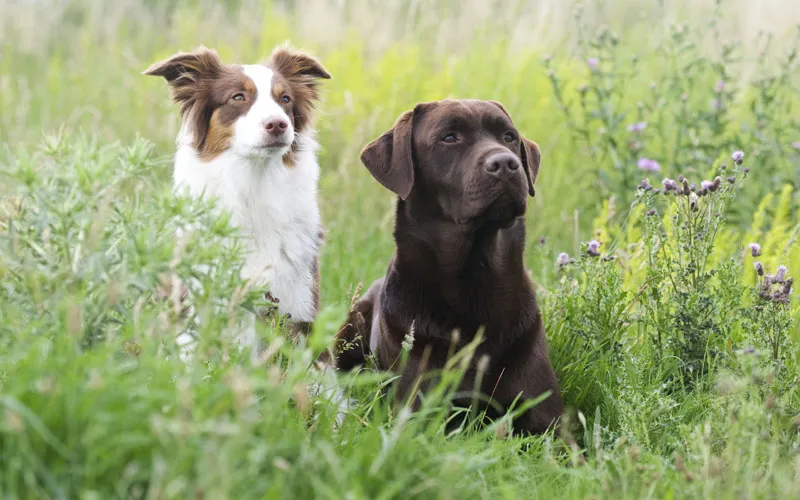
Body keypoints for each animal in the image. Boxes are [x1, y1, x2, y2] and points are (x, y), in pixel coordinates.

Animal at [330, 99, 564, 436]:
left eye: (509, 136)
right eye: (449, 138)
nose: (506, 164)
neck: (474, 279)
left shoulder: (551, 422)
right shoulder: (421, 418)